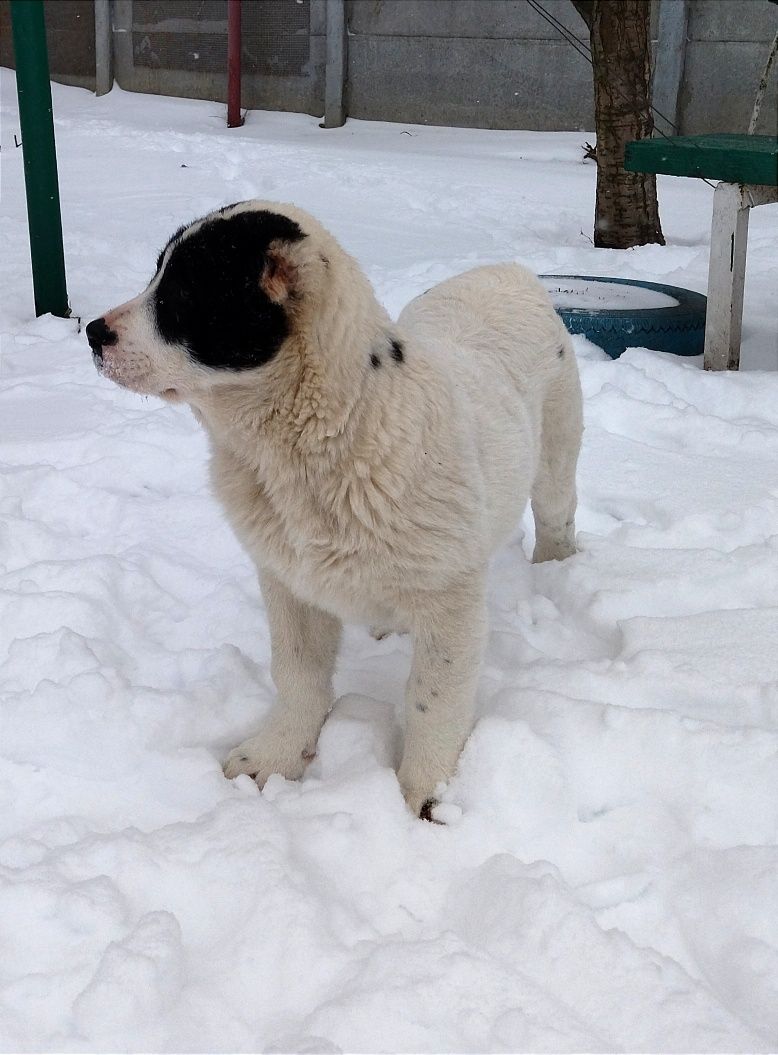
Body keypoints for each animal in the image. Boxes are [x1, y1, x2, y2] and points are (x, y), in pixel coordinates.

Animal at [86, 203, 582, 814]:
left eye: (184, 293)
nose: (93, 332)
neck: (319, 439)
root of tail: (507, 271)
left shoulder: (450, 601)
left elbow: (433, 698)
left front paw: (426, 794)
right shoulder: (288, 581)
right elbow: (297, 671)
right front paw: (276, 755)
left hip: (556, 451)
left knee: (557, 514)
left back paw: (556, 571)